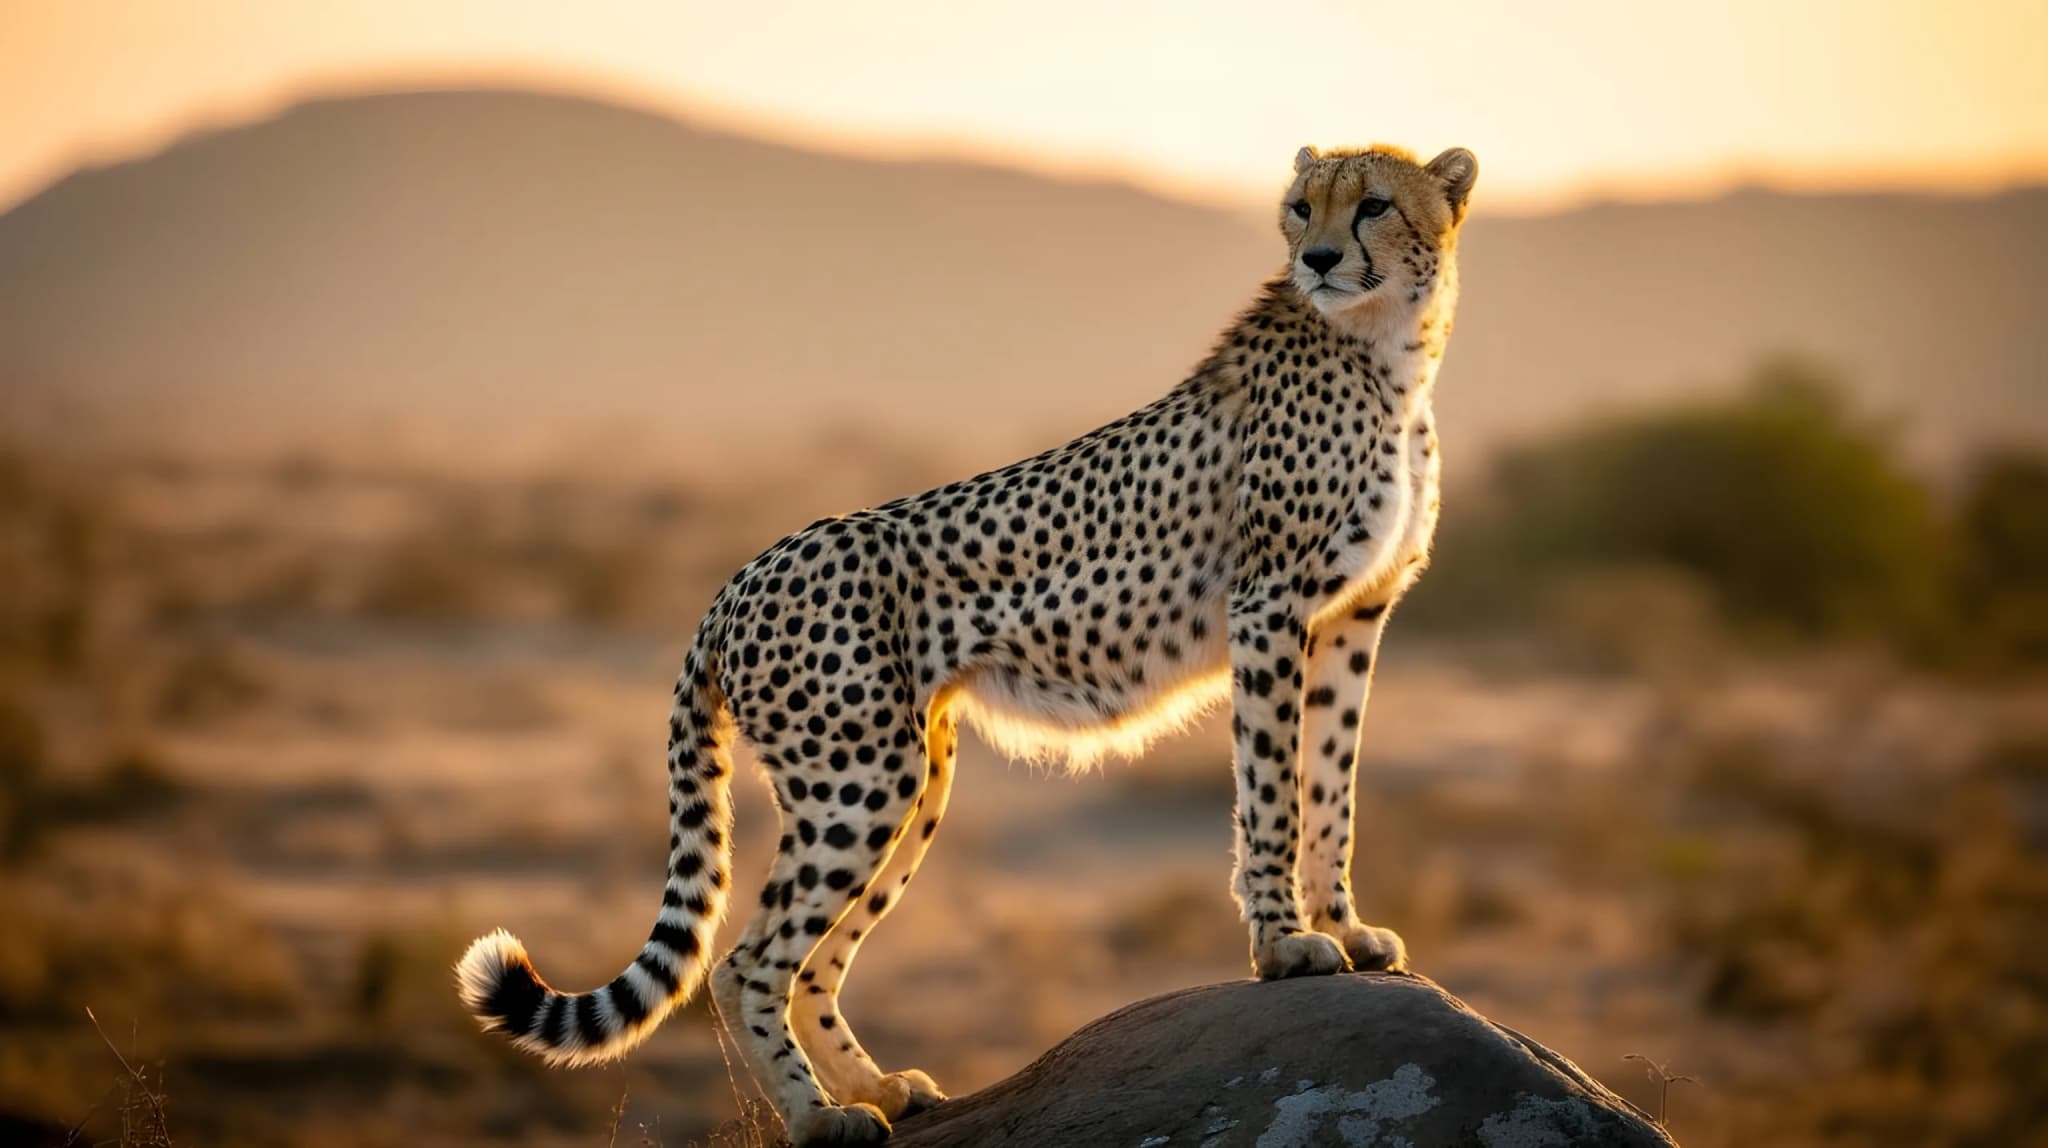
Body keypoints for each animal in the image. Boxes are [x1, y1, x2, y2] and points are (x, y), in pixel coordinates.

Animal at [456, 142, 1479, 1146]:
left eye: (1376, 204)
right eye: (1302, 208)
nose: (1319, 259)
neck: (1388, 353)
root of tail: (738, 580)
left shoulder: (1352, 616)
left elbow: (1331, 788)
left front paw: (1348, 930)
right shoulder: (1269, 605)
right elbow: (1272, 791)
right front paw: (1284, 945)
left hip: (914, 777)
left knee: (814, 960)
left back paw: (880, 1088)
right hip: (860, 778)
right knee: (746, 960)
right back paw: (819, 1118)